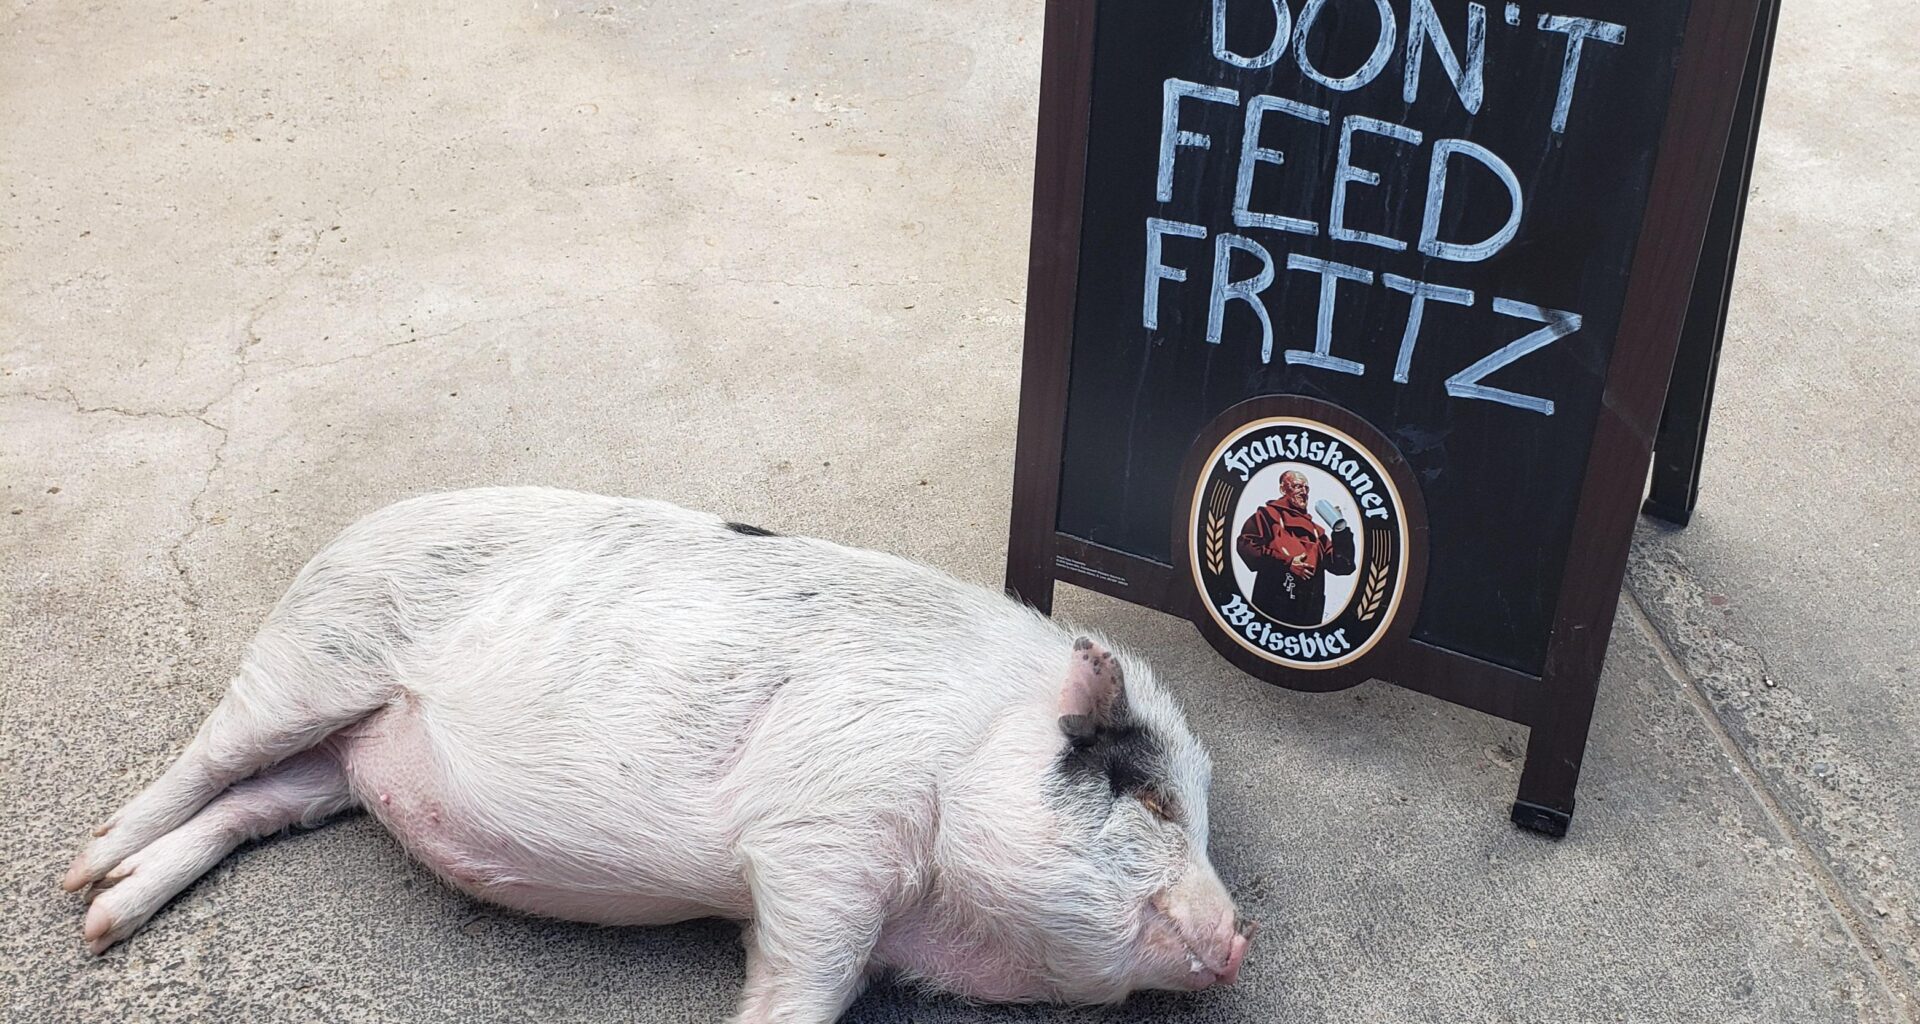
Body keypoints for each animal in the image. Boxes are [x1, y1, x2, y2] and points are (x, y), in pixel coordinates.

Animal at [60, 489, 1251, 1022]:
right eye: (1150, 800)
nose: (1240, 939)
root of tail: (351, 529)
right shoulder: (823, 839)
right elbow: (804, 980)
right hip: (313, 661)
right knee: (207, 763)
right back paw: (80, 877)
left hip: (340, 760)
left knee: (254, 806)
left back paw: (106, 919)